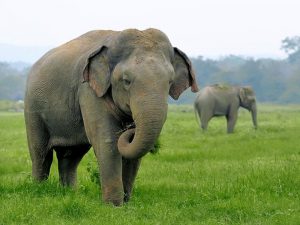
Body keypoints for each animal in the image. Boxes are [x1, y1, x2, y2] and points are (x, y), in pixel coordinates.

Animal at [24, 28, 198, 206]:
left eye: (170, 82)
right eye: (126, 81)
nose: (131, 127)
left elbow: (132, 153)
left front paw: (126, 204)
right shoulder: (89, 91)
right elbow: (106, 142)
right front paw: (113, 206)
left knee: (71, 156)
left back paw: (69, 193)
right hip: (33, 108)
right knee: (41, 153)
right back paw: (39, 190)